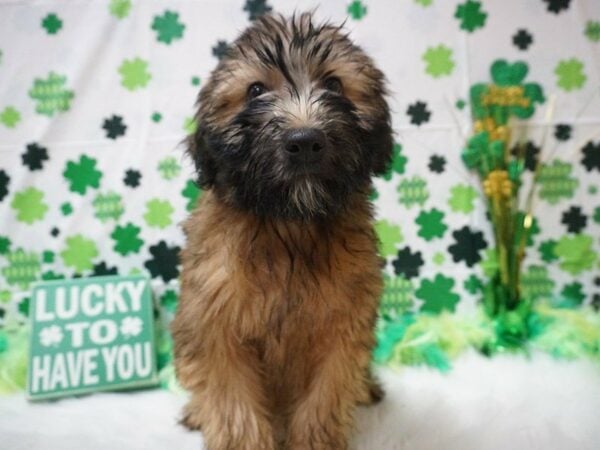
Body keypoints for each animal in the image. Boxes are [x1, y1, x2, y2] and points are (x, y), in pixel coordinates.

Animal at [170, 13, 394, 450]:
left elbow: (325, 397)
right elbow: (232, 405)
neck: (290, 224)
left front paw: (315, 440)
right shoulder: (215, 323)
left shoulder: (342, 326)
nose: (304, 140)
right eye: (255, 90)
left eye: (334, 84)